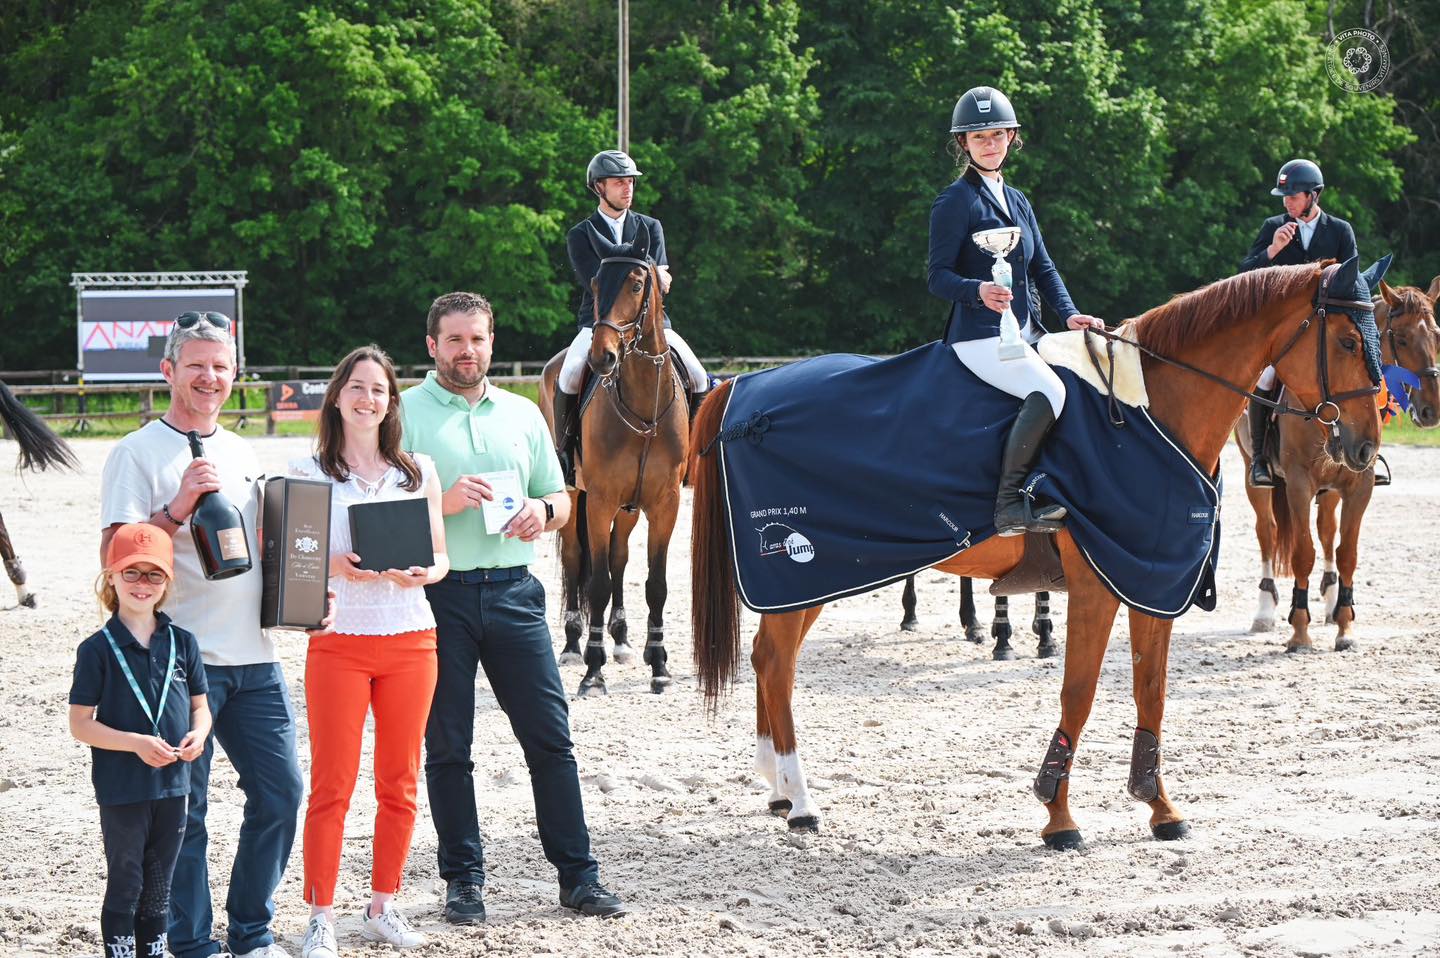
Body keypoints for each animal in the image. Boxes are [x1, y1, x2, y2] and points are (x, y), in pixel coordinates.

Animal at [538, 218, 688, 694]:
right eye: (595, 283)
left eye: (638, 283)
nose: (602, 357)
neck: (642, 405)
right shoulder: (600, 500)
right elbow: (598, 583)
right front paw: (592, 670)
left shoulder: (664, 503)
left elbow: (655, 583)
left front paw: (658, 665)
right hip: (575, 496)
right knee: (575, 560)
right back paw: (572, 646)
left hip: (629, 507)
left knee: (620, 558)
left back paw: (623, 641)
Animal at [685, 257, 1382, 847]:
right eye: (1348, 341)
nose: (1366, 449)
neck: (1149, 412)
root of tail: (745, 389)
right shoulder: (1100, 583)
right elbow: (1080, 691)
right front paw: (1059, 816)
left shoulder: (1152, 578)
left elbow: (1151, 690)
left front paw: (1159, 807)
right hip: (804, 571)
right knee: (776, 661)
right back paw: (801, 802)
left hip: (816, 578)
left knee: (770, 660)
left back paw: (778, 789)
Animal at [1232, 276, 1434, 651]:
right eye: (1401, 338)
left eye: (1437, 335)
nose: (1431, 410)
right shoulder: (1298, 484)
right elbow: (1301, 553)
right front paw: (1299, 632)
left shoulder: (1359, 484)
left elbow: (1346, 552)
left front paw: (1345, 625)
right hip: (1254, 474)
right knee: (1267, 532)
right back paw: (1265, 611)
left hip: (1330, 489)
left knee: (1326, 530)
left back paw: (1329, 600)